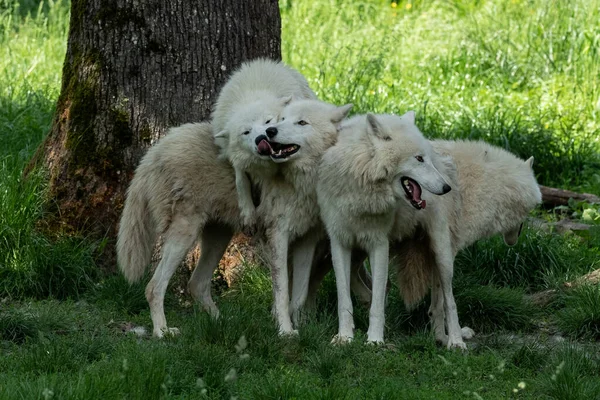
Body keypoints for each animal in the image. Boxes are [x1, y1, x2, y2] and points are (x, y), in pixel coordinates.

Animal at [116, 122, 240, 338]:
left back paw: (221, 322)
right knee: (154, 287)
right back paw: (162, 331)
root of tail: (154, 152)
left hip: (219, 234)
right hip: (186, 233)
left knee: (197, 284)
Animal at [211, 59, 316, 228]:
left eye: (268, 121)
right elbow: (241, 183)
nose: (261, 138)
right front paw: (248, 216)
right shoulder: (237, 161)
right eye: (246, 132)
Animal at [251, 99, 354, 334]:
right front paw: (285, 331)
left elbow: (299, 292)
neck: (301, 186)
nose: (270, 131)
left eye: (302, 122)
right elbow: (282, 290)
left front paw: (302, 326)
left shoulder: (307, 240)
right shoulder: (278, 235)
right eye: (282, 119)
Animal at [392, 139, 540, 348]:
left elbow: (436, 305)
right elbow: (449, 301)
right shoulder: (444, 247)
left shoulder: (437, 249)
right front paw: (455, 341)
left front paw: (441, 338)